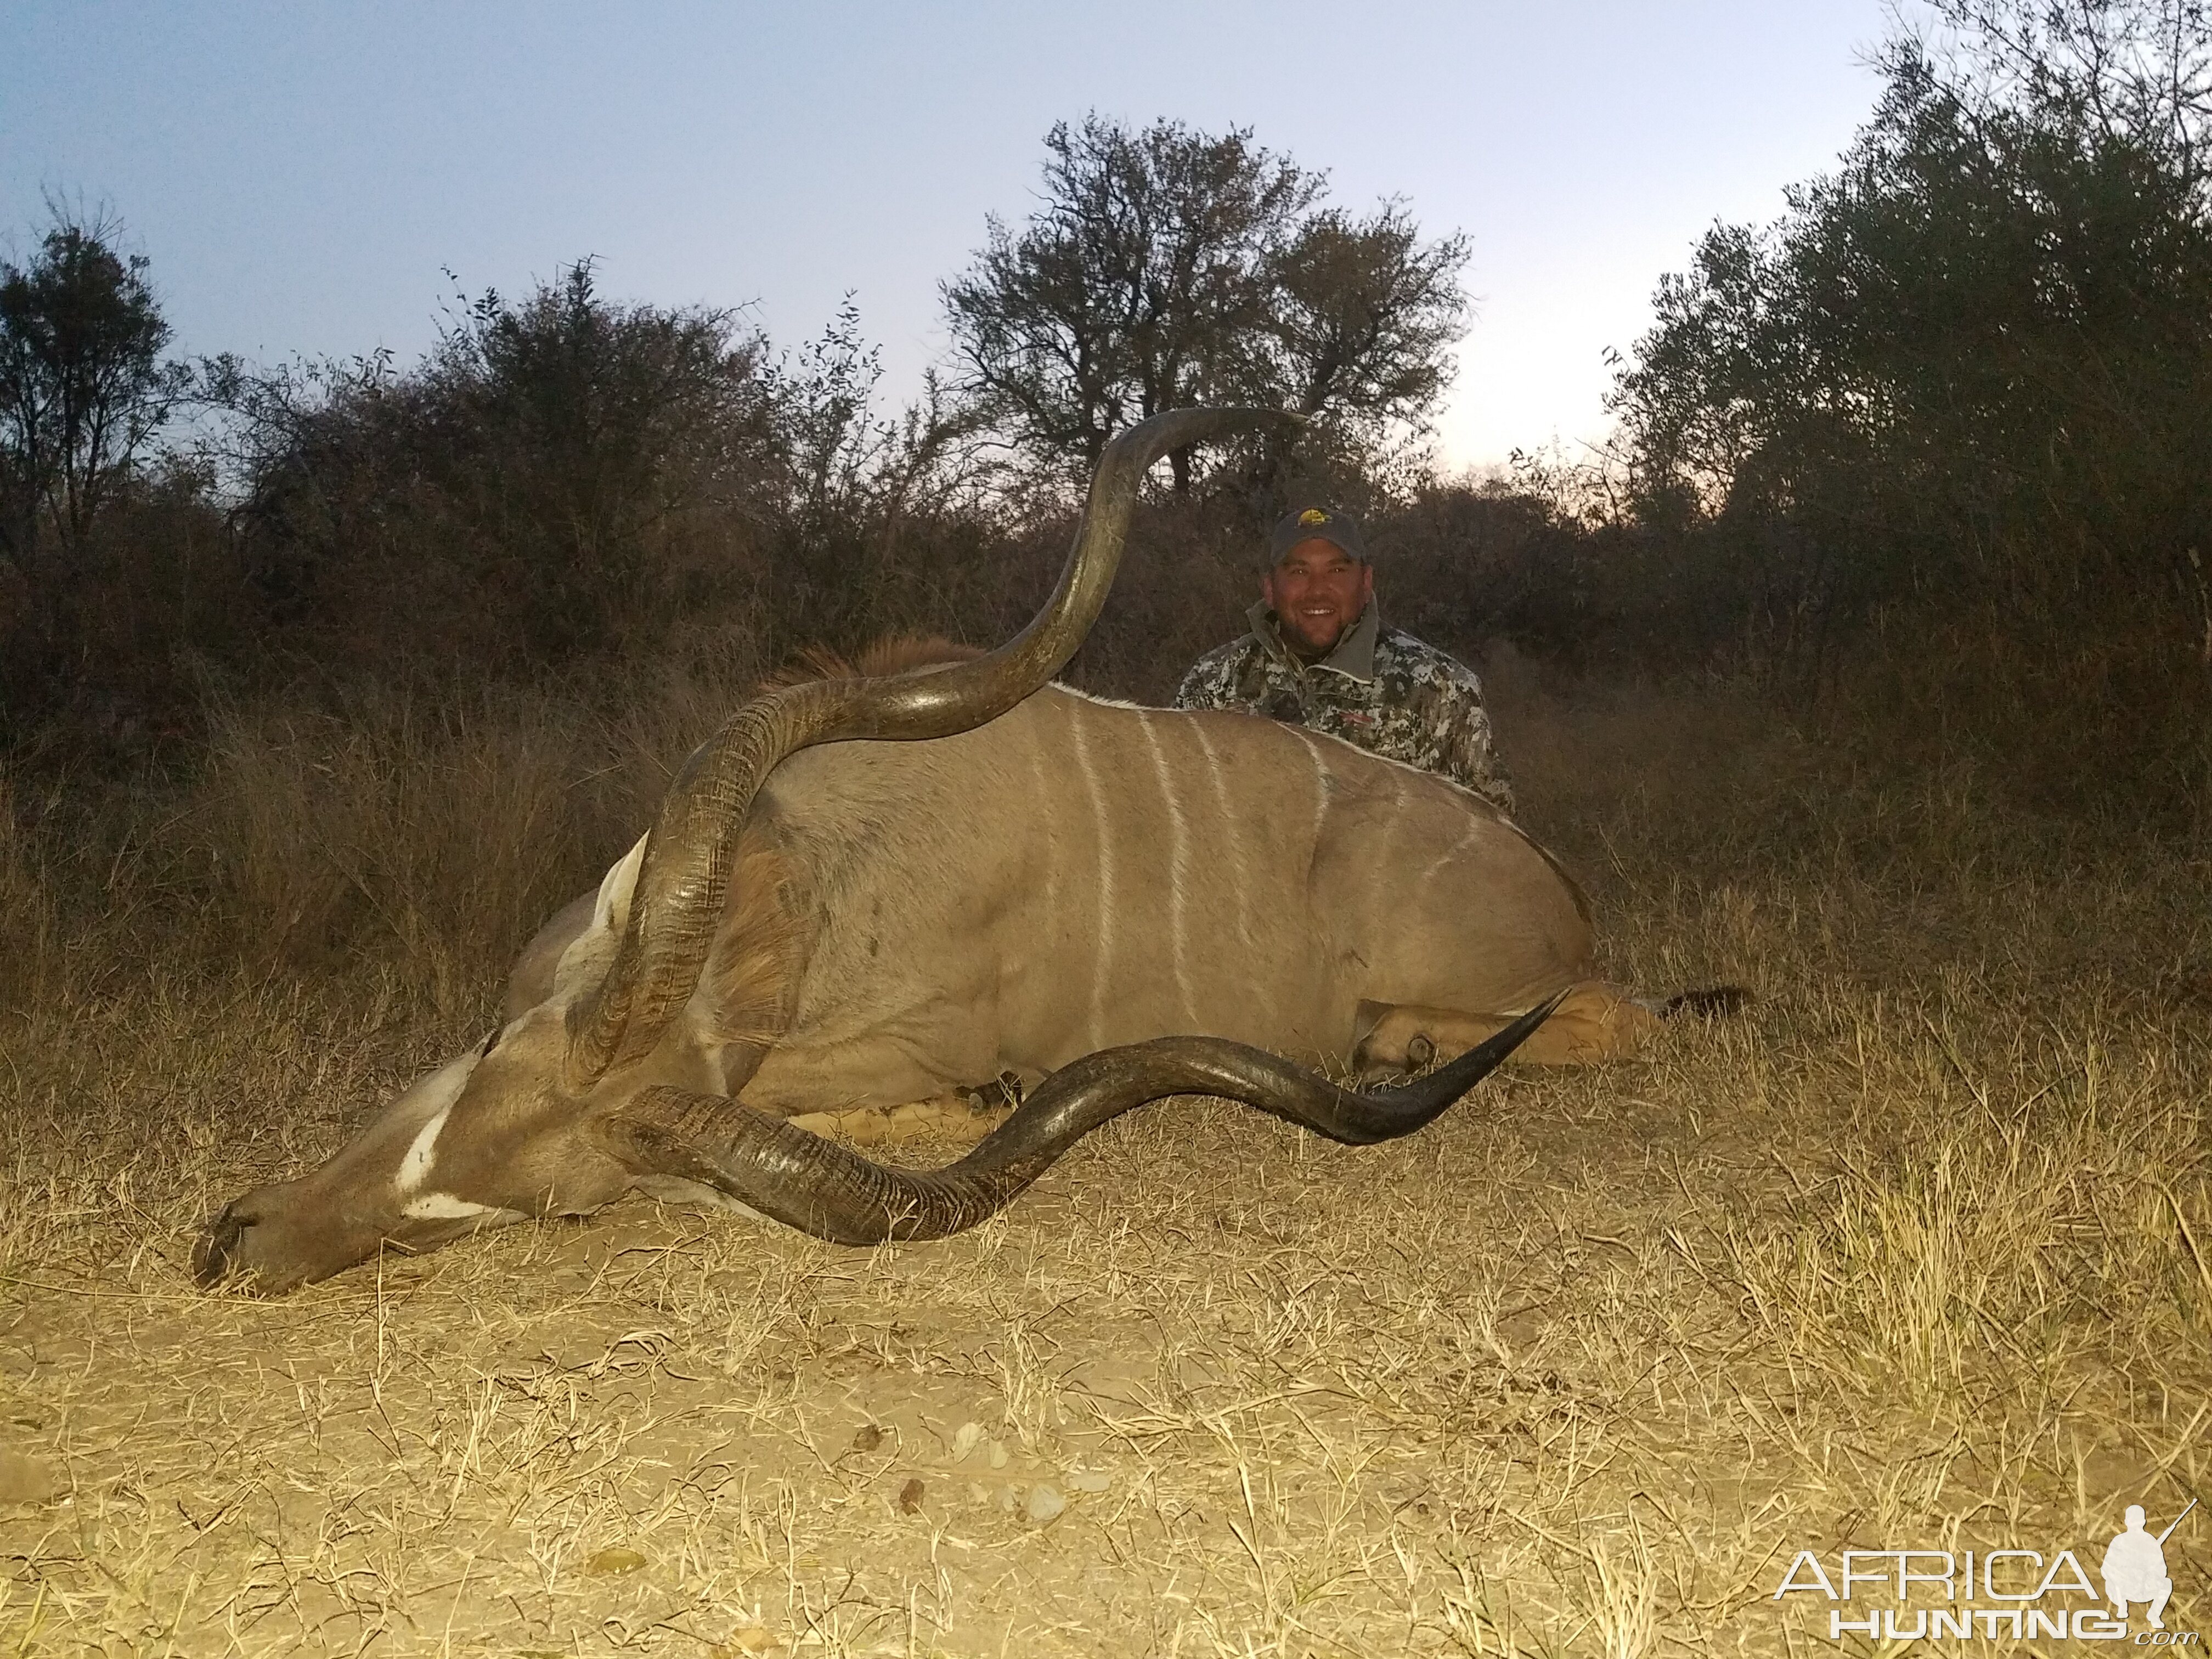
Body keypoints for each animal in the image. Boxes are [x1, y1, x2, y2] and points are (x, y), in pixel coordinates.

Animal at [194, 409, 1663, 1291]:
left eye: (567, 1207)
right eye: (493, 1053)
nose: (240, 1244)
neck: (813, 883)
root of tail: (1554, 889)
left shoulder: (915, 1040)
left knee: (1614, 1019)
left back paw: (1405, 1046)